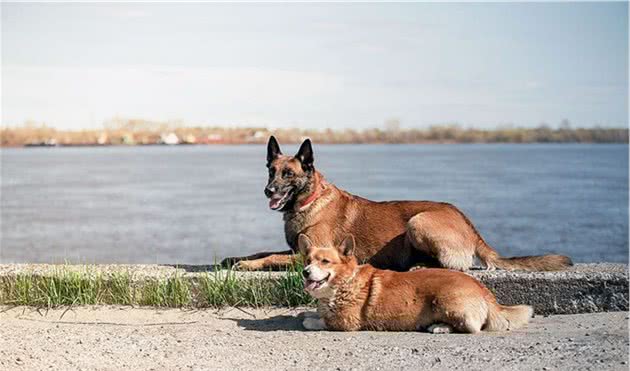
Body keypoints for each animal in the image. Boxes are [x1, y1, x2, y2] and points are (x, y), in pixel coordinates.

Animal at [227, 137, 572, 274]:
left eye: (288, 174)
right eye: (271, 171)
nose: (268, 190)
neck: (310, 200)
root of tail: (468, 222)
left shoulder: (306, 256)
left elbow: (270, 257)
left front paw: (246, 266)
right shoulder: (295, 249)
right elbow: (261, 251)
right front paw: (236, 258)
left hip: (418, 221)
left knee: (456, 266)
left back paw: (420, 266)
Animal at [300, 234, 532, 332]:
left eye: (325, 261)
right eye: (307, 260)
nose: (305, 272)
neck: (344, 283)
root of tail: (484, 291)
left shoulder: (346, 322)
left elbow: (321, 321)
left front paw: (310, 320)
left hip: (446, 302)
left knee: (473, 327)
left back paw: (439, 327)